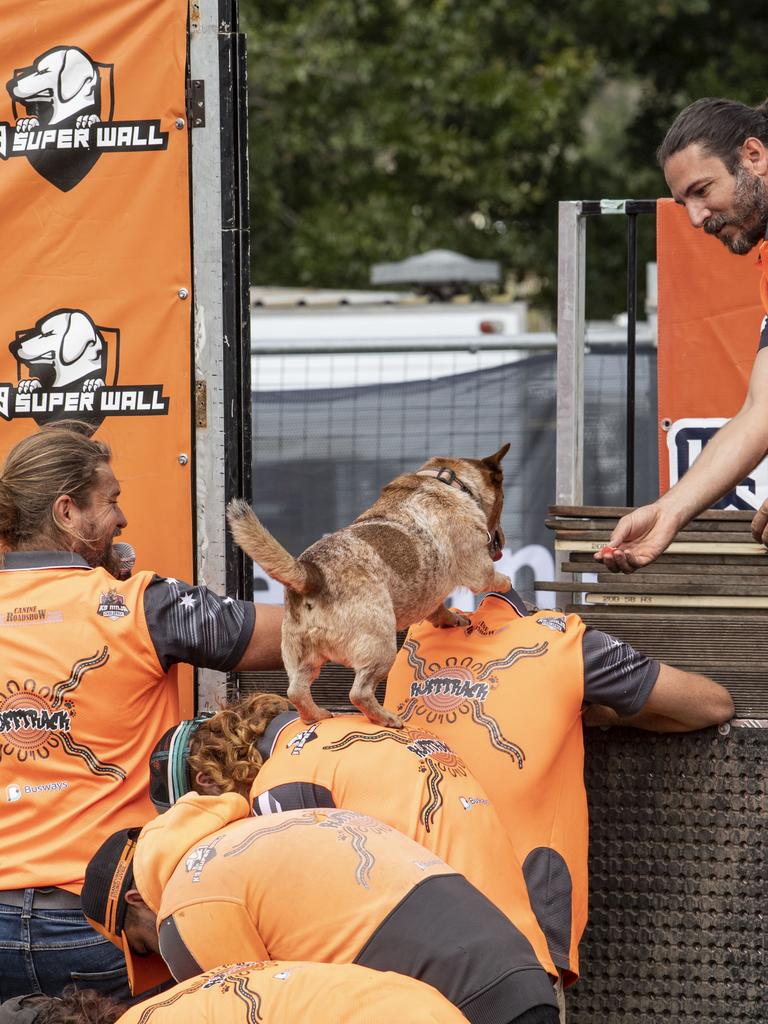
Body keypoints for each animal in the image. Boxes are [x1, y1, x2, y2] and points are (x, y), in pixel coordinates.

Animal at [225, 446, 512, 729]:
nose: (502, 537)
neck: (446, 479)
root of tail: (311, 573)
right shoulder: (479, 570)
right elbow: (494, 578)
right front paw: (507, 583)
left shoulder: (433, 596)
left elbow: (438, 610)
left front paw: (451, 619)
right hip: (381, 648)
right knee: (359, 693)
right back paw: (385, 718)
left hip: (302, 655)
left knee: (296, 691)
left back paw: (316, 716)